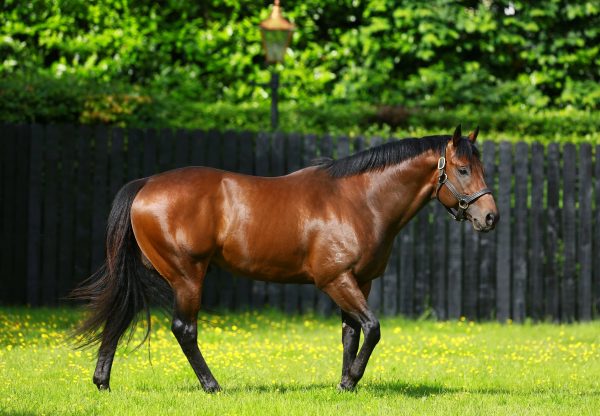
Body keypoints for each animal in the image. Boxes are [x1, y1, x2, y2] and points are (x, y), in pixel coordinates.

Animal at [72, 124, 500, 394]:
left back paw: (102, 382)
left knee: (120, 316)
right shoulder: (335, 280)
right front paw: (351, 380)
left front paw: (344, 385)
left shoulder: (359, 282)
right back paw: (212, 386)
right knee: (184, 329)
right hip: (186, 276)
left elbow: (352, 333)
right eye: (463, 169)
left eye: (480, 167)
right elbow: (373, 328)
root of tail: (145, 184)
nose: (490, 217)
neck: (358, 201)